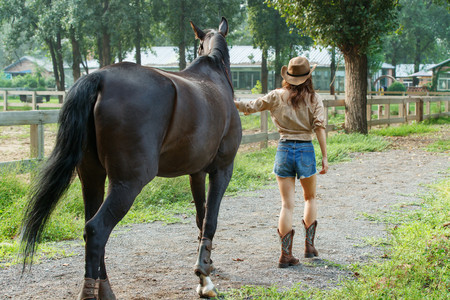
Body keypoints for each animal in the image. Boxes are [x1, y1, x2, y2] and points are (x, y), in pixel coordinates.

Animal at [20, 17, 241, 298]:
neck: (213, 75)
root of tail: (100, 77)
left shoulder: (197, 172)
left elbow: (200, 219)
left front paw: (205, 271)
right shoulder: (222, 169)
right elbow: (210, 220)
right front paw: (204, 277)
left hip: (92, 179)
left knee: (90, 228)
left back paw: (104, 289)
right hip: (128, 183)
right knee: (96, 230)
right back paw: (91, 291)